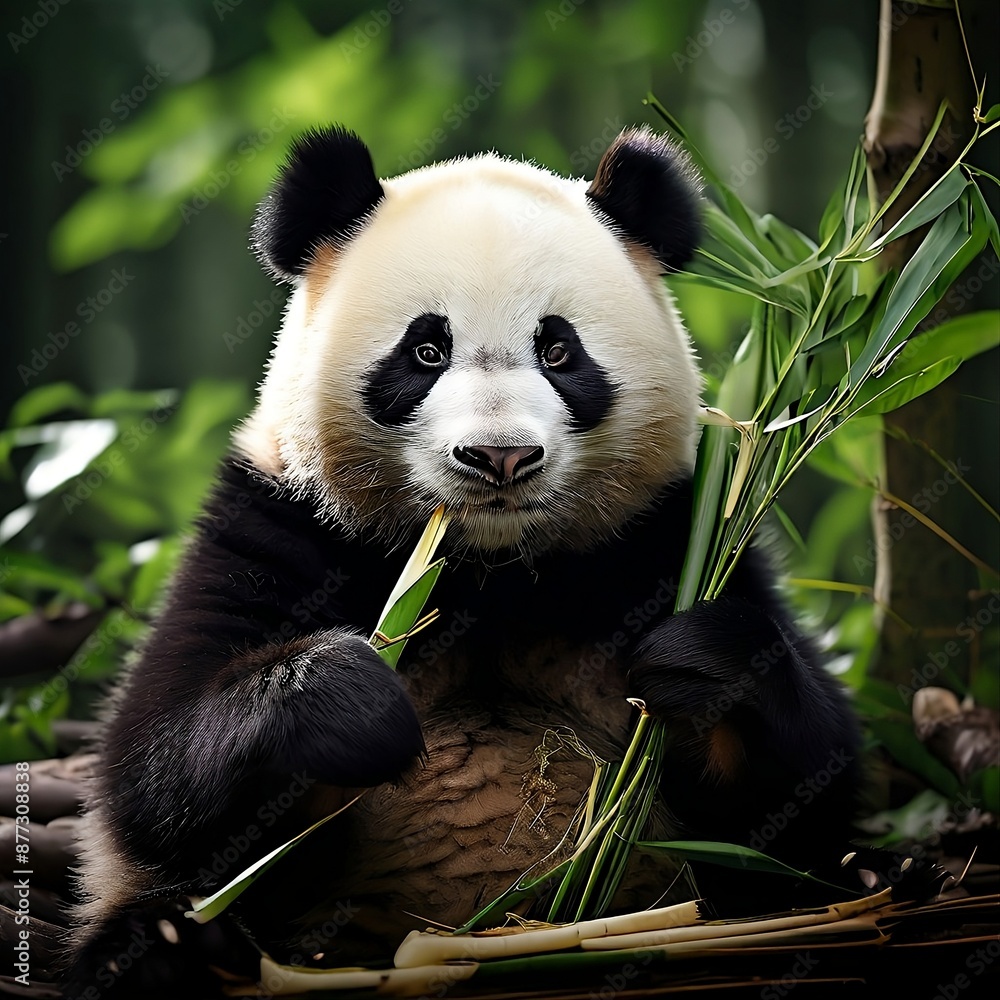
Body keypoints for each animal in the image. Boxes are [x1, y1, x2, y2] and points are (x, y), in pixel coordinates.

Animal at [69, 125, 859, 994]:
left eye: (558, 350)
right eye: (424, 349)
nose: (500, 457)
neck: (488, 571)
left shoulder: (665, 534)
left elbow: (807, 802)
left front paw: (698, 664)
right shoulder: (278, 528)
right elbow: (148, 767)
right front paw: (351, 702)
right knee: (156, 912)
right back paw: (176, 951)